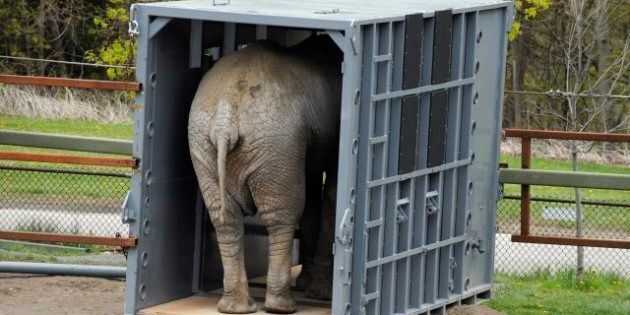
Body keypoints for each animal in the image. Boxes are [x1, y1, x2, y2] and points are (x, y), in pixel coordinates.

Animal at [189, 38, 340, 314]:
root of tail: (226, 114)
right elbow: (328, 196)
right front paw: (320, 294)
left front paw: (309, 286)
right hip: (276, 141)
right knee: (282, 214)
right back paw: (281, 306)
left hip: (204, 142)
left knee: (225, 217)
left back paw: (235, 307)